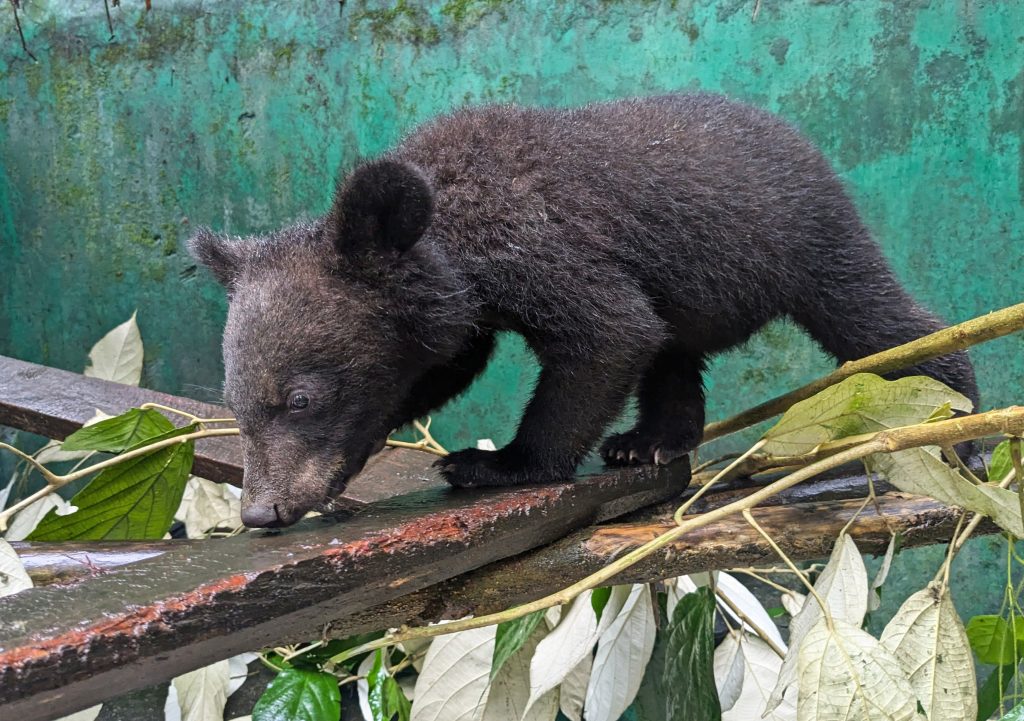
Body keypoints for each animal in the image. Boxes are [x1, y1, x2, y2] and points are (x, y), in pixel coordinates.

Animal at [190, 93, 979, 528]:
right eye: (235, 401)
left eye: (300, 398)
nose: (261, 511)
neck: (455, 228)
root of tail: (803, 141)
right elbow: (443, 366)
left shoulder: (541, 244)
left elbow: (607, 333)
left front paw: (497, 463)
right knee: (673, 356)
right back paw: (648, 441)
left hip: (810, 241)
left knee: (877, 319)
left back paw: (958, 423)